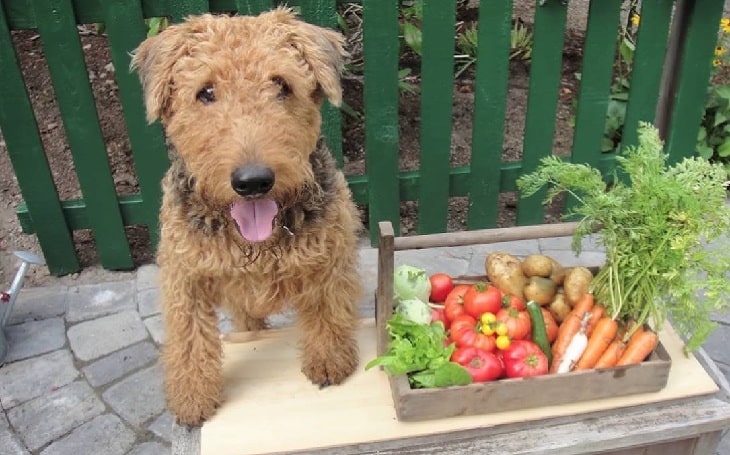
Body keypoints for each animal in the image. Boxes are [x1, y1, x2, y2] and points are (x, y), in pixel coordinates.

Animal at [131, 7, 362, 428]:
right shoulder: (184, 279)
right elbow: (190, 339)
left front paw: (329, 360)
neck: (256, 245)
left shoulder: (329, 264)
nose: (253, 182)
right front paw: (192, 397)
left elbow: (327, 309)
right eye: (205, 92)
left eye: (282, 85)